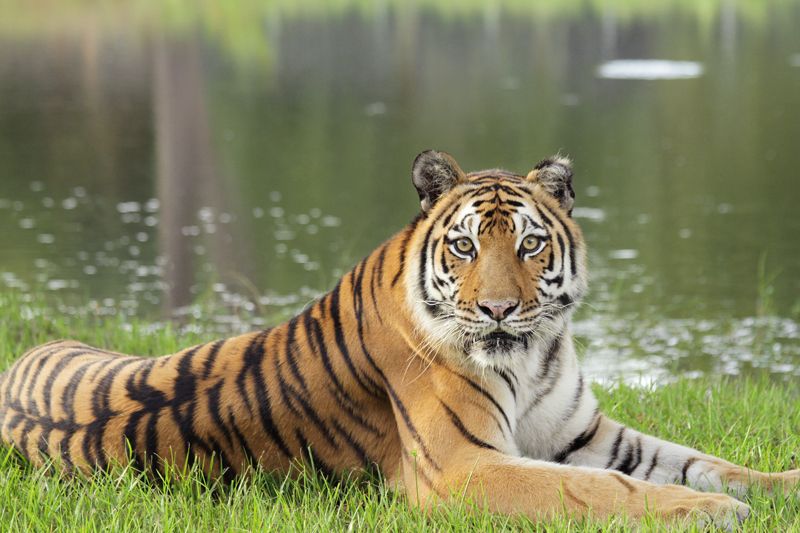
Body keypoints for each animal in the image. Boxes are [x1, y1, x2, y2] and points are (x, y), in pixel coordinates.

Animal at [0, 151, 796, 528]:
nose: (500, 310)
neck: (534, 357)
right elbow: (603, 488)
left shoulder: (582, 432)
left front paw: (775, 487)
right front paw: (712, 515)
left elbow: (702, 461)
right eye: (466, 246)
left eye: (531, 244)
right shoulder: (463, 467)